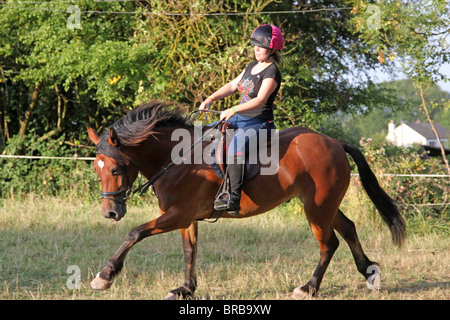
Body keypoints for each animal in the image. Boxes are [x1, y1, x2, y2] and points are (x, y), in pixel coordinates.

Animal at [86, 101, 406, 298]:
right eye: (96, 169)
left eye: (115, 169)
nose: (110, 213)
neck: (176, 158)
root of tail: (334, 142)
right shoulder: (185, 218)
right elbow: (190, 251)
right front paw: (185, 289)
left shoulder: (178, 214)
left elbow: (135, 233)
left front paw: (105, 275)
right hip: (324, 205)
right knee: (348, 228)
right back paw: (370, 273)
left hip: (317, 208)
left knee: (329, 243)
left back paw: (309, 287)